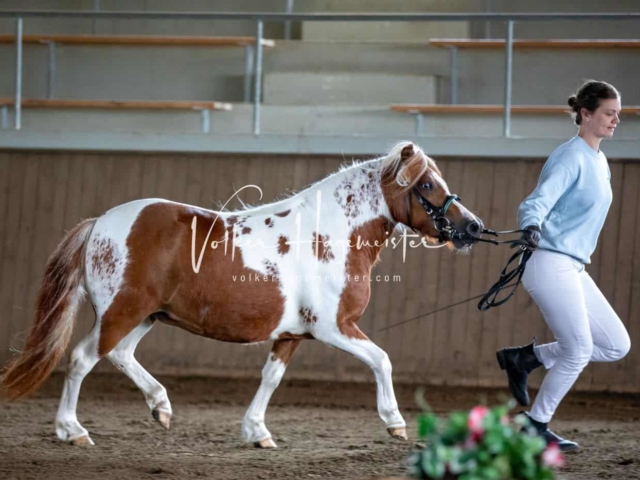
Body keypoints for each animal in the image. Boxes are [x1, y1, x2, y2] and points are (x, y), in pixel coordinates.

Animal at [0, 141, 480, 448]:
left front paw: (256, 432)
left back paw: (161, 407)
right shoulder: (335, 328)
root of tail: (100, 222)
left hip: (147, 315)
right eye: (427, 185)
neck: (330, 236)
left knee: (120, 355)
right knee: (83, 359)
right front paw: (395, 423)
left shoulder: (293, 334)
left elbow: (271, 378)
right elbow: (382, 360)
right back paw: (72, 431)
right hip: (122, 312)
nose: (473, 226)